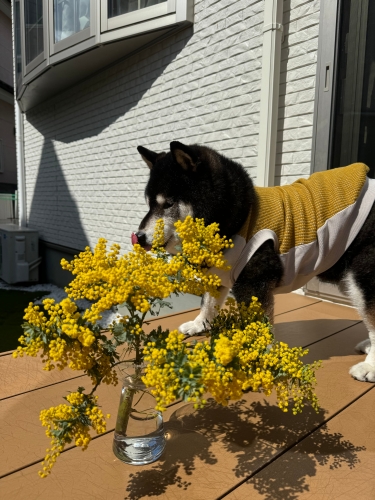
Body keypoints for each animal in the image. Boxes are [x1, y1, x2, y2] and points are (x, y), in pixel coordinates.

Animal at [134, 141, 375, 382]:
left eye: (168, 204)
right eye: (148, 205)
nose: (139, 237)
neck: (240, 215)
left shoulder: (254, 281)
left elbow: (258, 324)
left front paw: (258, 356)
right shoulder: (220, 273)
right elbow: (208, 302)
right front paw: (199, 324)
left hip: (361, 274)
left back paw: (370, 367)